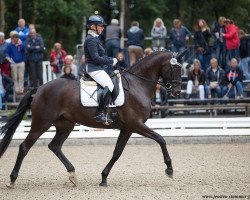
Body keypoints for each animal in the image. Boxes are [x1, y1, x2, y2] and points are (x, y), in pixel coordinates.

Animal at [0, 50, 184, 188]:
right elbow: (160, 139)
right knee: (25, 147)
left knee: (55, 146)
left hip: (65, 125)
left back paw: (73, 175)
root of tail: (39, 88)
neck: (137, 84)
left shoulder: (128, 128)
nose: (177, 91)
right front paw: (169, 169)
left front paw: (103, 178)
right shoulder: (134, 125)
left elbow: (118, 152)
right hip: (41, 124)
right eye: (175, 69)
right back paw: (12, 180)